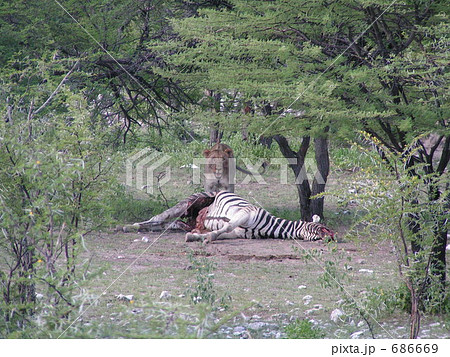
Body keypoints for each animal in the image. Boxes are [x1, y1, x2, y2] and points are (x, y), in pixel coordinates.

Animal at [184, 191, 334, 243]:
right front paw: (208, 237)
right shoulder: (247, 213)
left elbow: (222, 232)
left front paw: (195, 236)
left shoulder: (237, 233)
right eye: (323, 228)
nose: (333, 236)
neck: (269, 225)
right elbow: (227, 227)